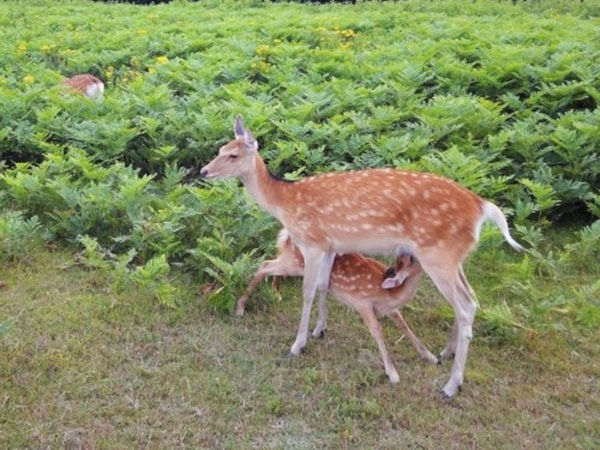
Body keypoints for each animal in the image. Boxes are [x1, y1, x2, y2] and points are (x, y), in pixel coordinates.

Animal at [234, 229, 436, 384]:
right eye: (410, 258)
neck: (391, 293)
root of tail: (287, 234)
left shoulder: (390, 309)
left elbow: (404, 326)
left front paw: (430, 356)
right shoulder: (362, 303)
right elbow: (377, 331)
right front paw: (393, 374)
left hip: (291, 261)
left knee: (271, 263)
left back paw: (276, 294)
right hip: (295, 264)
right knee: (264, 265)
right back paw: (241, 307)